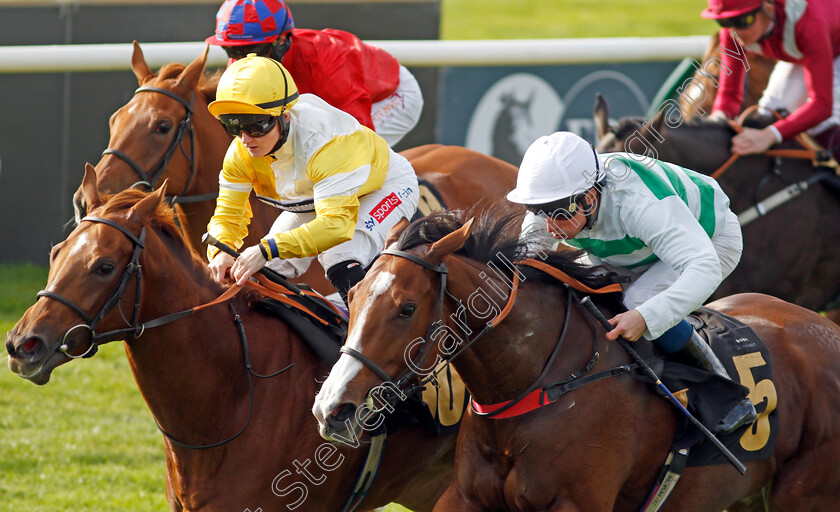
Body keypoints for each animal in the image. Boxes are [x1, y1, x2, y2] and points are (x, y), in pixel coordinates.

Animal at [310, 209, 840, 512]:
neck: (541, 381)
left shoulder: (576, 502)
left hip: (805, 495)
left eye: (406, 308)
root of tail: (828, 331)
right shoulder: (465, 496)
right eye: (352, 295)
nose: (332, 409)